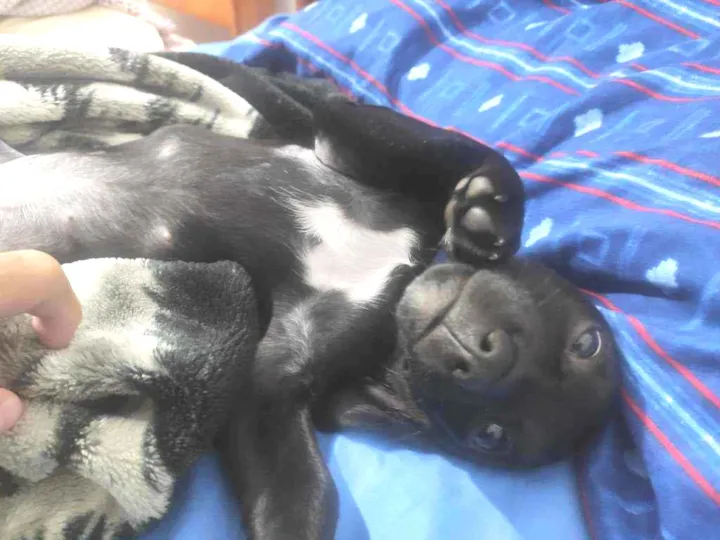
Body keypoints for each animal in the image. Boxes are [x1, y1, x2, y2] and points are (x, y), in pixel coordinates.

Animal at [0, 97, 619, 540]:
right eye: (587, 344)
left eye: (491, 437)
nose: (490, 356)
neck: (395, 289)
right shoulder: (352, 133)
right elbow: (455, 147)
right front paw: (489, 212)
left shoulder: (267, 387)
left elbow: (305, 500)